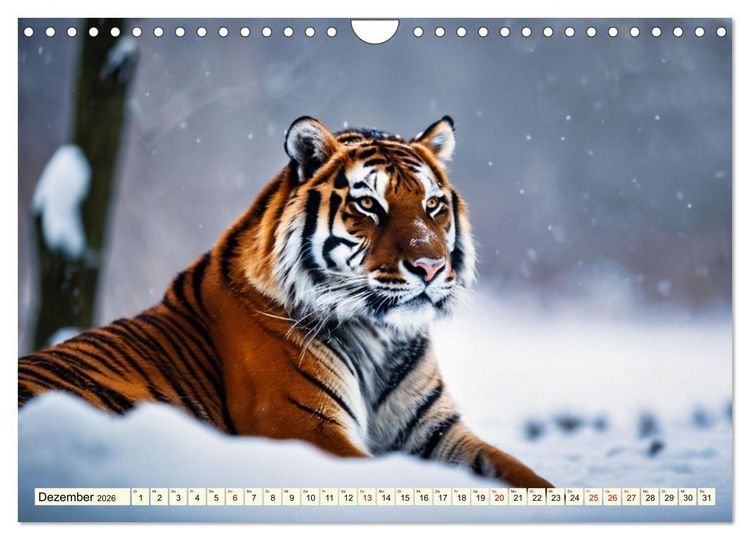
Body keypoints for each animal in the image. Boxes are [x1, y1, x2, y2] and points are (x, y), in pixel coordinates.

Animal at [19, 116, 553, 488]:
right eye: (368, 204)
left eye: (432, 204)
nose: (430, 267)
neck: (379, 336)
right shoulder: (303, 427)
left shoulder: (436, 431)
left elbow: (523, 474)